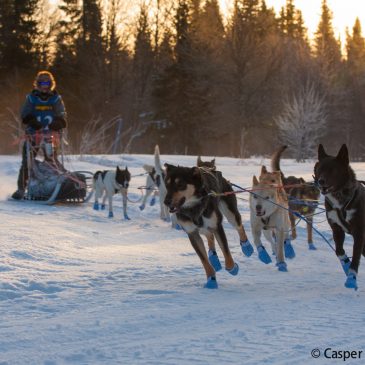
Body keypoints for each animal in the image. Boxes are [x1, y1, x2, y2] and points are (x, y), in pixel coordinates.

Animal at [312, 144, 364, 288]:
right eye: (320, 169)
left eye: (333, 170)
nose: (321, 181)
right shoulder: (336, 229)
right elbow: (339, 251)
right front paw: (346, 266)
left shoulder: (359, 232)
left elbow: (355, 256)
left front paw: (351, 277)